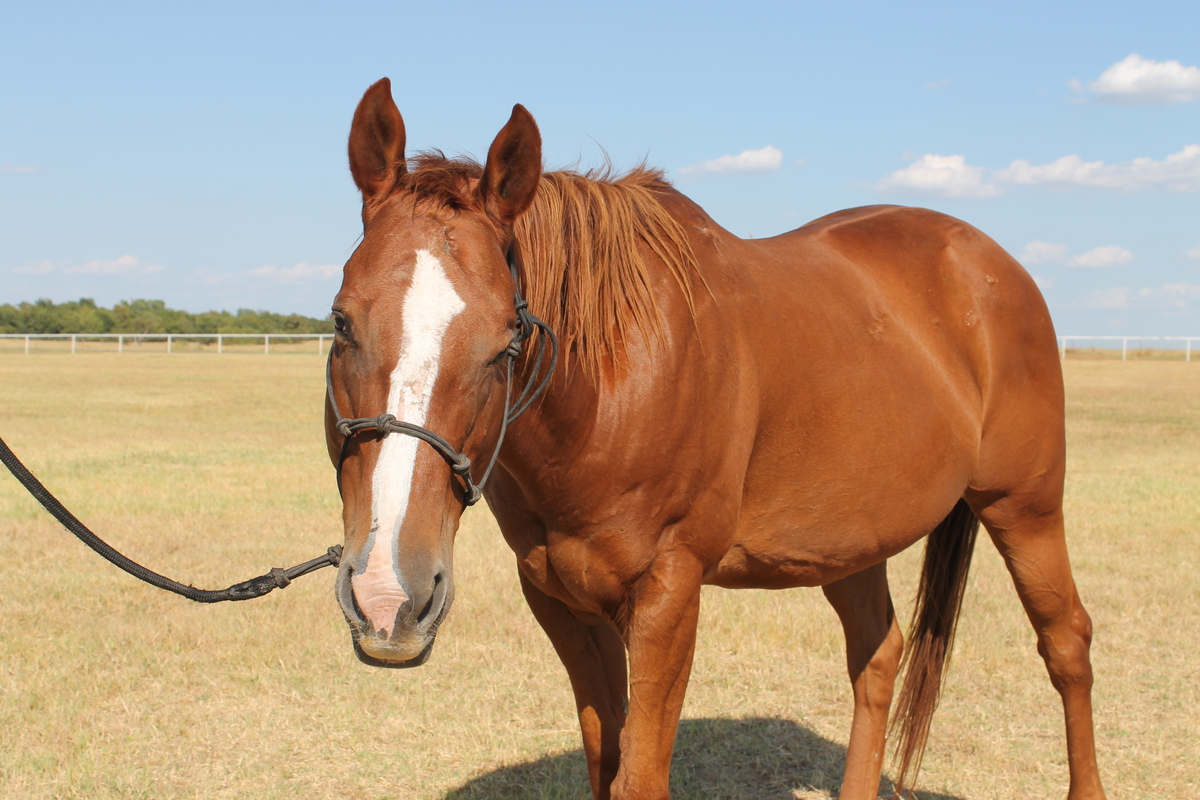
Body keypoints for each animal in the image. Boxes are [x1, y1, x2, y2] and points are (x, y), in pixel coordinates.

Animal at [324, 78, 1107, 800]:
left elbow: (640, 777)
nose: (389, 595)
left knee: (1066, 642)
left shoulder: (668, 594)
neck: (613, 388)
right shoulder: (560, 598)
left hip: (1025, 508)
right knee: (878, 655)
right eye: (340, 321)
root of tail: (987, 262)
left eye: (503, 343)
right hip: (852, 540)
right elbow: (607, 764)